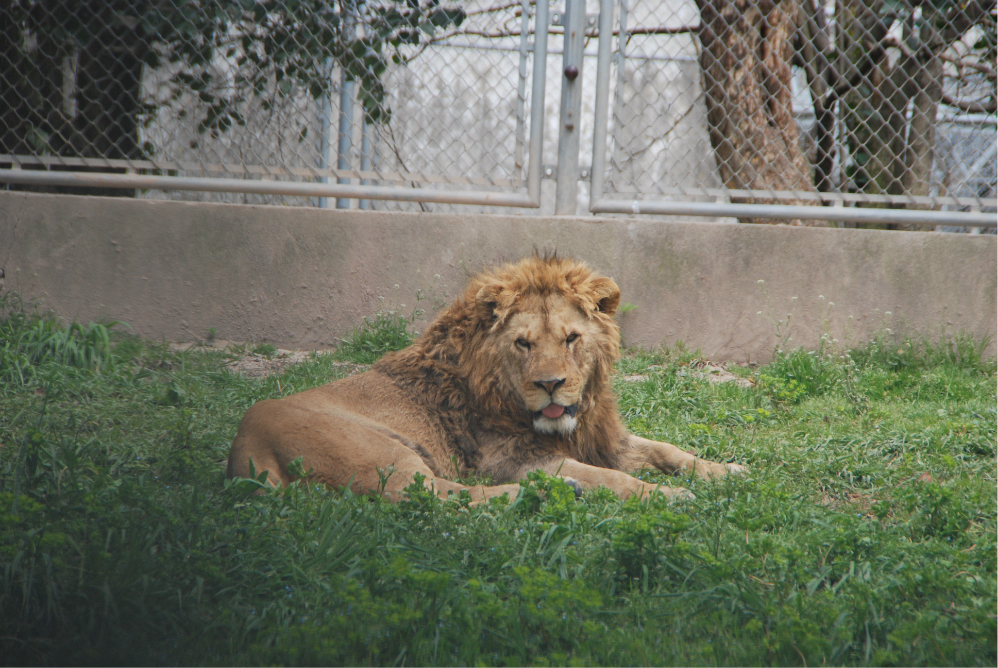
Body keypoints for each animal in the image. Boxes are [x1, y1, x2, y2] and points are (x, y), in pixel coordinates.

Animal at [225, 254, 744, 500]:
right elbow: (613, 478)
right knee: (434, 497)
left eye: (572, 338)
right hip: (381, 453)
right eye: (523, 344)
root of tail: (243, 445)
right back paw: (540, 494)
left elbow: (668, 450)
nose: (550, 385)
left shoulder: (605, 439)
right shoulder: (514, 460)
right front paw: (670, 496)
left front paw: (727, 471)